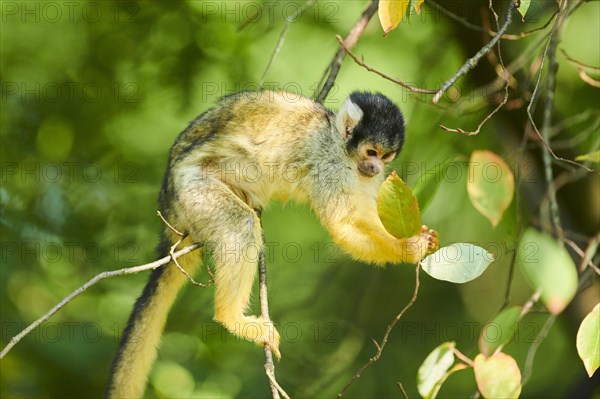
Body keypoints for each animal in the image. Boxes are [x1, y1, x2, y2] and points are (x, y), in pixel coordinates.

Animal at [105, 90, 438, 399]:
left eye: (385, 157)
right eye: (371, 151)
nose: (375, 168)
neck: (339, 143)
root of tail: (168, 204)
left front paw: (417, 237)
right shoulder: (329, 164)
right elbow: (342, 225)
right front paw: (409, 248)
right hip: (193, 192)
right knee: (240, 225)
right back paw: (231, 319)